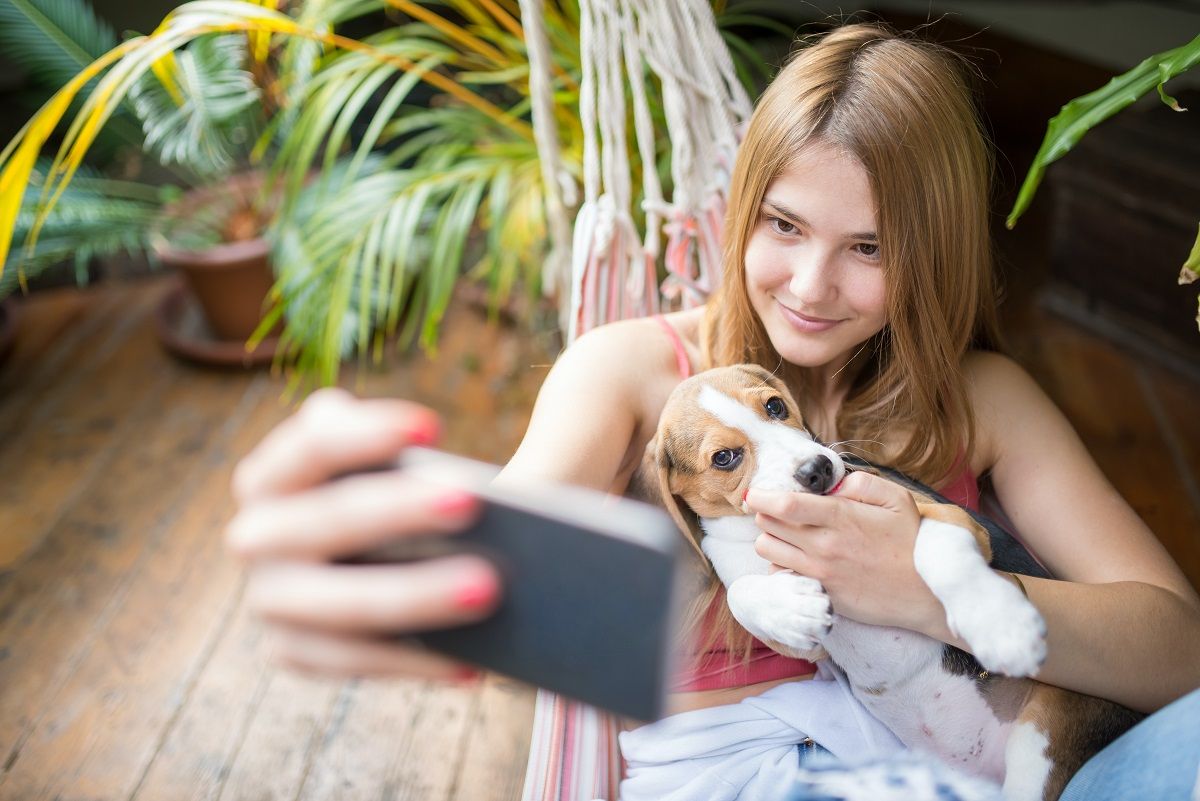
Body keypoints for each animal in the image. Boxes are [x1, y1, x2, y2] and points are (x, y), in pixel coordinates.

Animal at [648, 364, 1142, 801]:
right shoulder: (806, 648)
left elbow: (937, 548)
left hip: (1045, 731)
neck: (762, 529)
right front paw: (788, 607)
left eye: (774, 406)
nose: (818, 469)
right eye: (724, 458)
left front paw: (999, 624)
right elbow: (740, 593)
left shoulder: (948, 517)